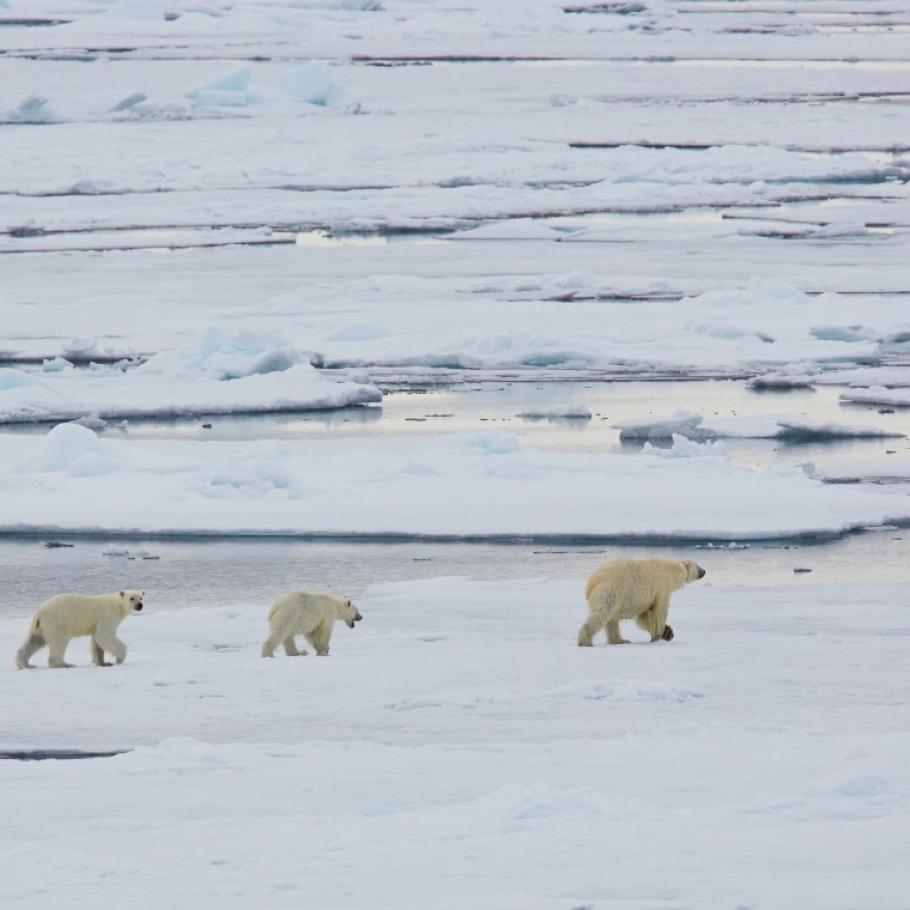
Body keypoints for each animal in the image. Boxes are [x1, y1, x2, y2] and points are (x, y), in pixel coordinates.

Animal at [16, 592, 146, 668]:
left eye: (141, 597)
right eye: (132, 598)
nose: (140, 605)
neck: (116, 604)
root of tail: (40, 612)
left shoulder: (96, 623)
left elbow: (96, 642)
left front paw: (103, 663)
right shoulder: (106, 616)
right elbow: (104, 636)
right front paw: (118, 659)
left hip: (40, 627)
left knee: (35, 641)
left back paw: (25, 664)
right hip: (58, 622)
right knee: (59, 642)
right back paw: (64, 664)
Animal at [576, 556, 704, 648]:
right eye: (698, 566)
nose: (704, 572)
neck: (671, 570)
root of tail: (591, 585)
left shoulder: (646, 598)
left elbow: (643, 618)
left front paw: (668, 632)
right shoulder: (661, 587)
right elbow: (659, 612)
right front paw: (658, 636)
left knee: (612, 620)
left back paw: (620, 640)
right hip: (609, 591)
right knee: (601, 614)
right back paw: (585, 641)